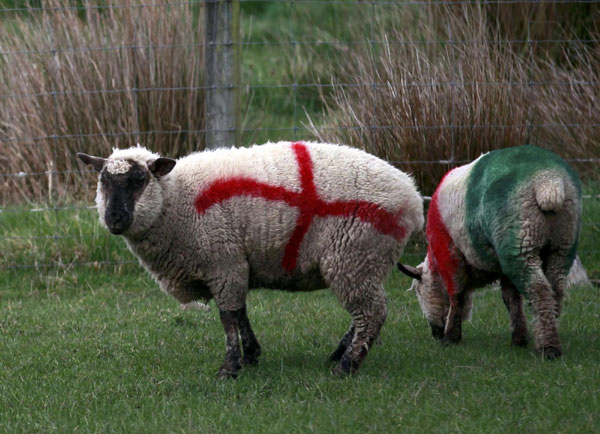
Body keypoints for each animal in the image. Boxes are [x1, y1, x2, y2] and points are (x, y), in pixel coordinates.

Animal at [79, 142, 424, 376]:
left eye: (139, 180)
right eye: (103, 181)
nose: (114, 218)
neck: (177, 200)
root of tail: (412, 196)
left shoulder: (222, 260)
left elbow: (228, 317)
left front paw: (230, 368)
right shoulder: (234, 264)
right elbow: (240, 312)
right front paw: (251, 355)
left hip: (355, 254)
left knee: (372, 313)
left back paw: (347, 366)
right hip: (363, 262)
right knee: (365, 313)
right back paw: (339, 354)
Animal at [398, 146, 580, 360]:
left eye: (419, 291)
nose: (435, 334)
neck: (435, 261)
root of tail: (548, 182)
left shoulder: (449, 254)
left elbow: (457, 295)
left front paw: (451, 337)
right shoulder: (504, 265)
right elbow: (511, 298)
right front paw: (519, 338)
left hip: (521, 242)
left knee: (540, 290)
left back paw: (548, 348)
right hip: (561, 243)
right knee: (556, 289)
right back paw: (550, 331)